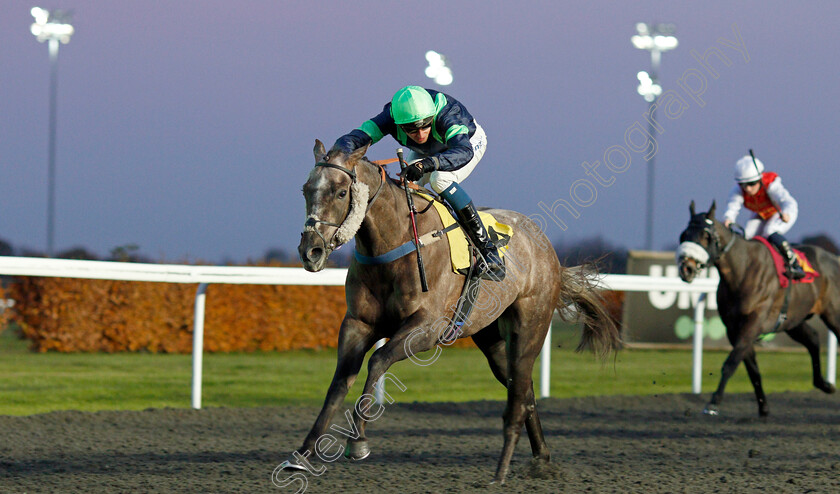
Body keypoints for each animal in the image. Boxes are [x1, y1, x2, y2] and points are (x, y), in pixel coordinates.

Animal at [286, 139, 620, 482]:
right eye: (306, 190)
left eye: (341, 192)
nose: (310, 251)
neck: (393, 243)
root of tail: (546, 247)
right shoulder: (358, 323)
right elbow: (338, 382)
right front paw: (304, 453)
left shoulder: (427, 327)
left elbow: (378, 360)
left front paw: (358, 441)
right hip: (491, 338)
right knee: (523, 389)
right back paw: (541, 458)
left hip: (531, 325)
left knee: (521, 386)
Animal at [676, 201, 840, 416]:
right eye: (683, 235)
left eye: (706, 235)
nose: (686, 268)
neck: (742, 270)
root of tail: (835, 259)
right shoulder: (734, 329)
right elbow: (751, 368)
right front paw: (763, 407)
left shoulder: (753, 323)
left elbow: (731, 363)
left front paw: (713, 403)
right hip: (793, 319)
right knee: (812, 338)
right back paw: (825, 384)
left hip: (833, 314)